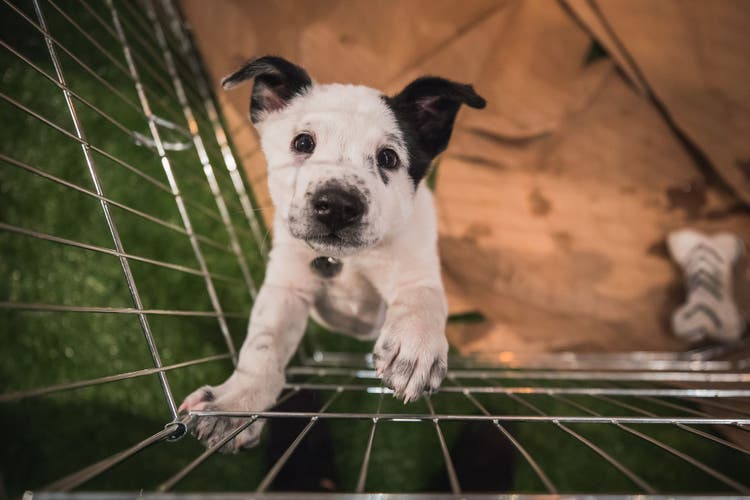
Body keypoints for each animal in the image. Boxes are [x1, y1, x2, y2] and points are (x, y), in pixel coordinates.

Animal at [181, 56, 488, 452]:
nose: (339, 205)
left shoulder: (415, 264)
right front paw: (236, 404)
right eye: (302, 142)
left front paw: (414, 344)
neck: (346, 261)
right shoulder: (287, 287)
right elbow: (262, 346)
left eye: (388, 158)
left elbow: (423, 296)